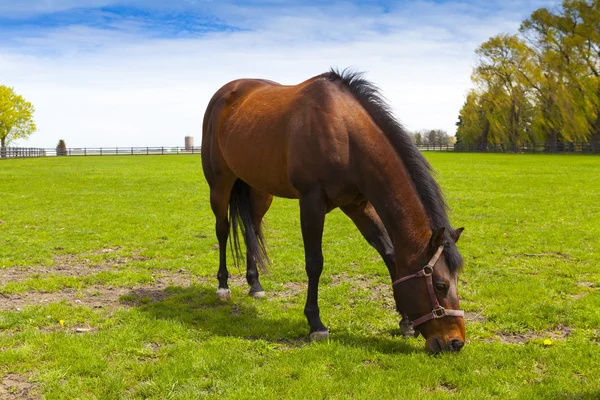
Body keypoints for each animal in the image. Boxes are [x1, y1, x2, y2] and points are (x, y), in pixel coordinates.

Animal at [202, 69, 468, 354]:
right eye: (440, 285)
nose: (456, 342)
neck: (344, 133)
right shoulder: (311, 201)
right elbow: (314, 262)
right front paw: (316, 324)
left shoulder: (359, 205)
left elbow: (389, 253)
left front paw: (405, 321)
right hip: (220, 185)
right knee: (222, 229)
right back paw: (223, 286)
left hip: (260, 190)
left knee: (251, 229)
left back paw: (255, 285)